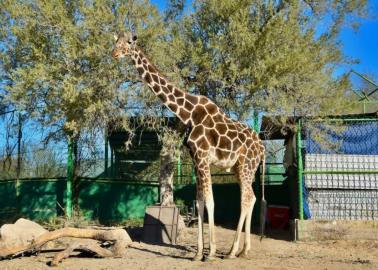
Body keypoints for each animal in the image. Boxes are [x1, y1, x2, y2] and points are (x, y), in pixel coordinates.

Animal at [112, 32, 266, 262]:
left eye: (128, 43)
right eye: (116, 41)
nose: (114, 53)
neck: (189, 113)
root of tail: (262, 148)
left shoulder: (203, 158)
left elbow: (210, 201)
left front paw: (211, 252)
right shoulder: (196, 159)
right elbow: (200, 201)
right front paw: (198, 253)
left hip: (247, 165)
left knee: (246, 199)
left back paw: (231, 251)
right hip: (240, 168)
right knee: (252, 197)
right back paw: (243, 250)